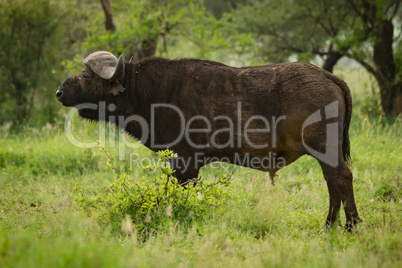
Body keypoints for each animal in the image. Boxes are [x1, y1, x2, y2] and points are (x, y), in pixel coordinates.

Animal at [56, 50, 362, 228]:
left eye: (86, 76)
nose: (60, 91)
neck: (152, 92)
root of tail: (327, 76)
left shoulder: (186, 162)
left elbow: (184, 192)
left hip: (325, 148)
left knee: (341, 178)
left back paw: (350, 224)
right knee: (332, 182)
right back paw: (329, 225)